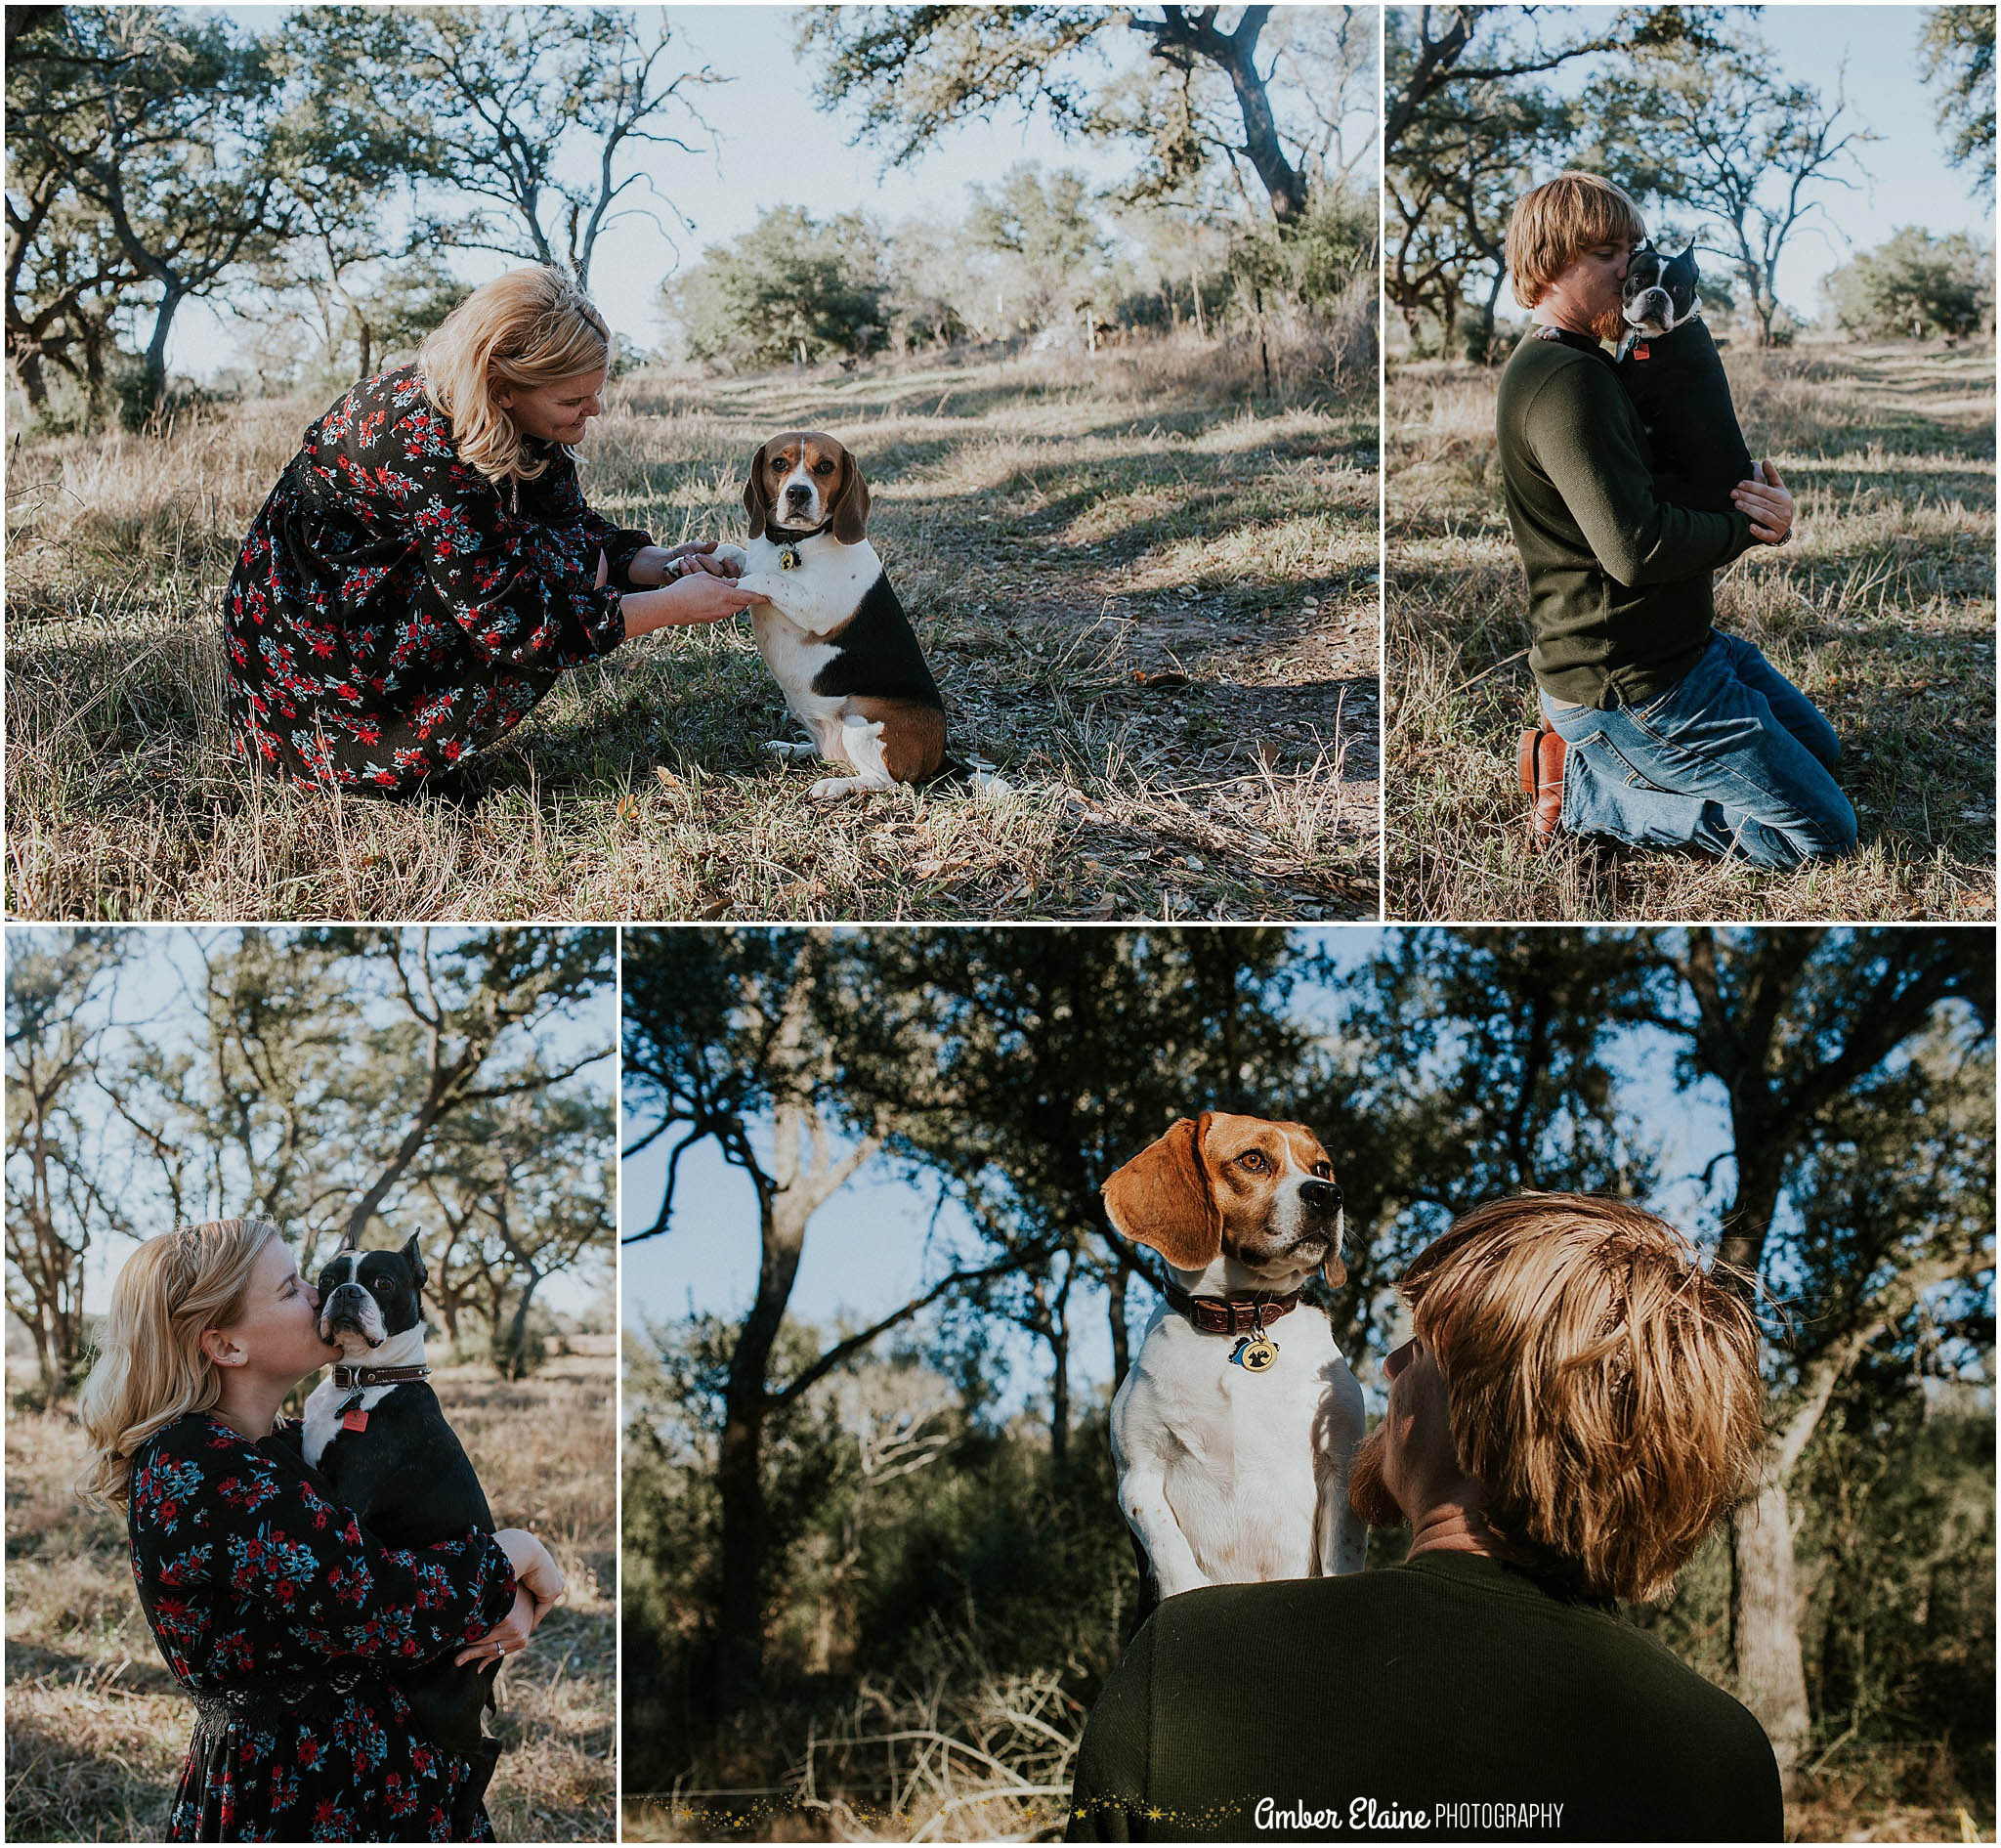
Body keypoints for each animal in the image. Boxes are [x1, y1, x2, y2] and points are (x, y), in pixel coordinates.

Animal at [712, 440, 944, 808]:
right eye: (779, 463)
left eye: (825, 467)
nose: (797, 493)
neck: (795, 541)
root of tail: (941, 756)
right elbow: (737, 553)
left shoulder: (816, 606)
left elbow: (765, 578)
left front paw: (729, 584)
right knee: (823, 751)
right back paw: (790, 748)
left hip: (863, 717)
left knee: (884, 781)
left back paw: (834, 786)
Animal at [1104, 1113, 1368, 1602]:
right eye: (1253, 1160)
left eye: (1321, 1167)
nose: (1329, 1195)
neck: (1243, 1318)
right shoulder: (1139, 1477)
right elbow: (1176, 1565)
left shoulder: (1340, 1465)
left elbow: (1340, 1558)